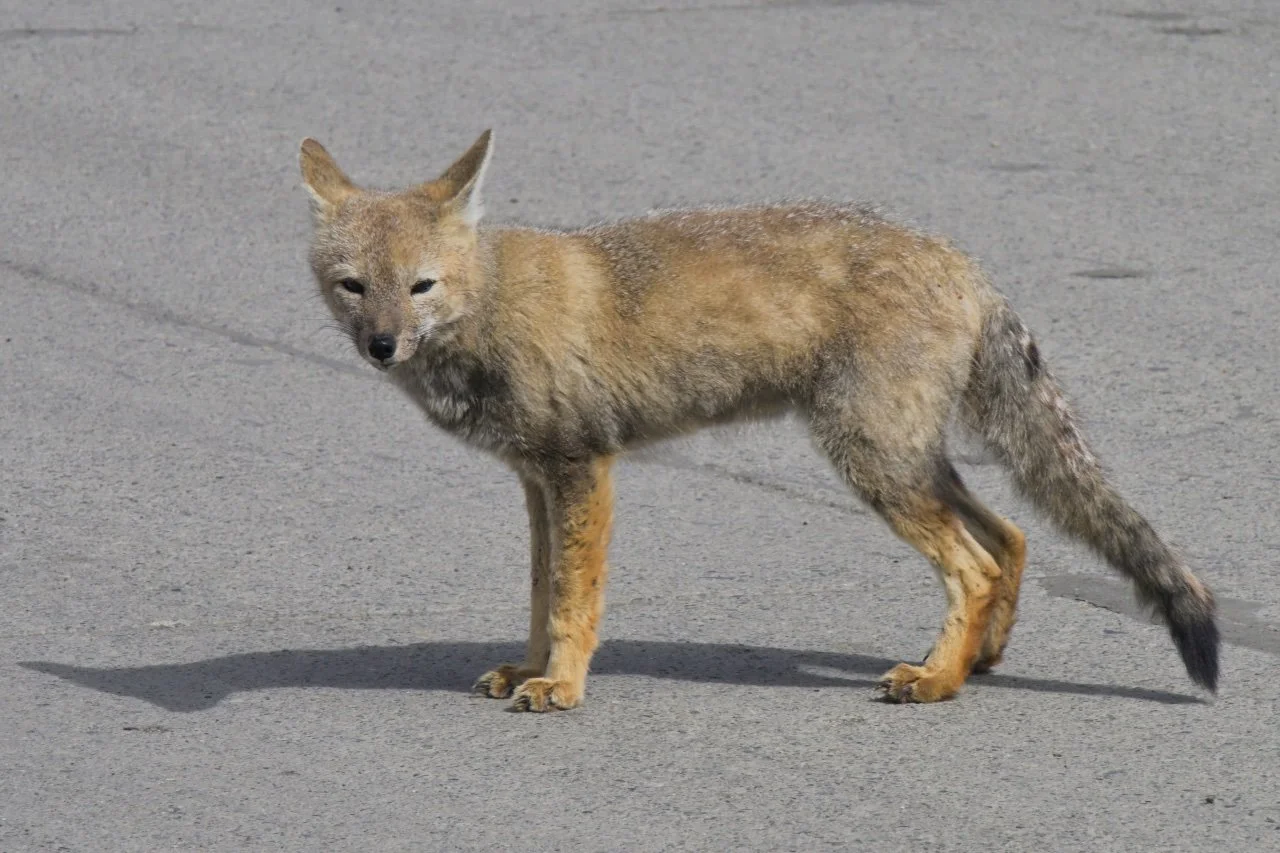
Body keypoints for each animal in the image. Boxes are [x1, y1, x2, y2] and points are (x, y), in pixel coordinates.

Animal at [298, 130, 1219, 711]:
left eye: (421, 286)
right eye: (354, 286)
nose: (381, 345)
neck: (490, 304)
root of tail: (961, 260)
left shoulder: (582, 468)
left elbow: (572, 598)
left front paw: (560, 685)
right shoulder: (537, 479)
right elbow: (539, 589)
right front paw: (530, 667)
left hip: (874, 461)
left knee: (976, 563)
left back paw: (935, 681)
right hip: (908, 459)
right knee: (1012, 537)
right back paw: (974, 661)